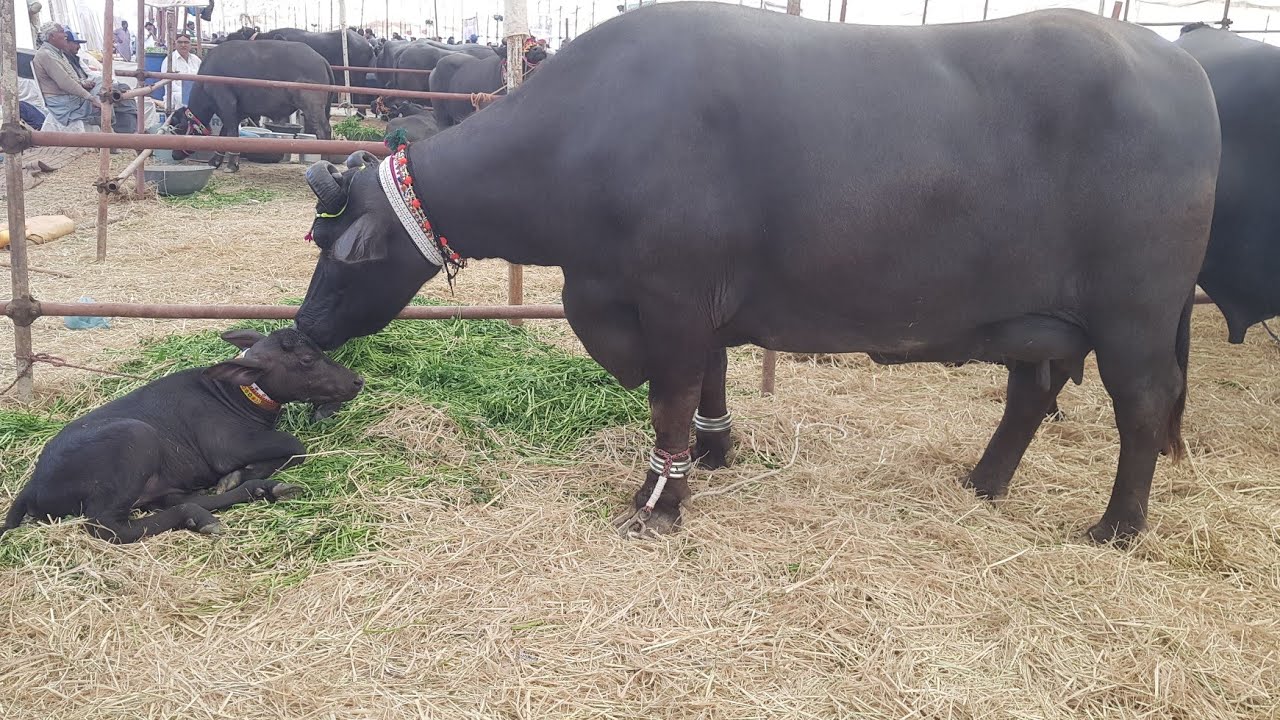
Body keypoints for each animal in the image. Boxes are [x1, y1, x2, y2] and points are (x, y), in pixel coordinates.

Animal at [295, 6, 1220, 544]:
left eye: (336, 258)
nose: (303, 328)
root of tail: (1177, 65)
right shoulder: (697, 302)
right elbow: (709, 379)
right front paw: (712, 454)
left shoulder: (670, 295)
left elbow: (669, 396)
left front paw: (658, 501)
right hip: (1039, 322)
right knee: (1030, 394)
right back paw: (983, 482)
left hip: (1134, 317)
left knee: (1144, 408)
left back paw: (1116, 526)